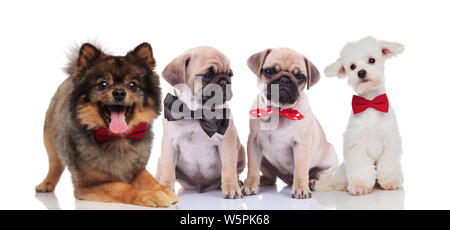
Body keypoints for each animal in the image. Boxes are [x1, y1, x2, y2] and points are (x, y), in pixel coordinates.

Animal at [34, 42, 178, 208]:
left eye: (132, 85)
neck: (118, 139)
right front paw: (150, 195)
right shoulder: (90, 184)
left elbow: (149, 179)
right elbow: (124, 187)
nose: (119, 93)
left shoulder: (137, 170)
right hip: (49, 140)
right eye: (103, 84)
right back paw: (46, 184)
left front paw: (164, 190)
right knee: (54, 165)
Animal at [156, 45, 246, 199]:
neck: (196, 112)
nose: (224, 81)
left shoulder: (227, 142)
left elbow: (228, 168)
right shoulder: (169, 144)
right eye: (207, 76)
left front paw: (231, 187)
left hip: (241, 152)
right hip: (159, 160)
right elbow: (167, 170)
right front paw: (166, 189)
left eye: (230, 75)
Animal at [243, 47, 338, 199]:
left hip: (330, 161)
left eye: (300, 77)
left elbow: (300, 169)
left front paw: (300, 188)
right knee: (271, 178)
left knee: (321, 176)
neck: (279, 111)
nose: (284, 79)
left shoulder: (301, 145)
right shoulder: (254, 142)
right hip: (264, 160)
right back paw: (260, 180)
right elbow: (252, 166)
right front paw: (250, 184)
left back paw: (313, 182)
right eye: (269, 71)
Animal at [314, 36, 406, 196]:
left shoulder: (390, 142)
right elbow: (361, 168)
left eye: (371, 60)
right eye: (352, 66)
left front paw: (391, 183)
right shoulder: (357, 145)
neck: (370, 103)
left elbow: (388, 165)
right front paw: (360, 186)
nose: (361, 72)